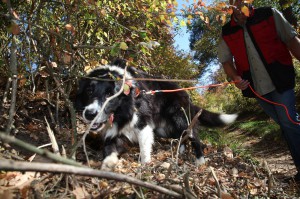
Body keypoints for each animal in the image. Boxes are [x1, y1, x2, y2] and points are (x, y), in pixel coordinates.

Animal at [75, 59, 237, 170]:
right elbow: (109, 148)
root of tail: (185, 93)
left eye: (110, 94)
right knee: (181, 136)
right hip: (164, 129)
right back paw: (180, 151)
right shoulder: (114, 131)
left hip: (181, 120)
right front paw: (107, 165)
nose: (90, 114)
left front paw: (145, 165)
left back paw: (200, 160)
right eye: (89, 91)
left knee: (193, 136)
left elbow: (144, 147)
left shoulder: (142, 124)